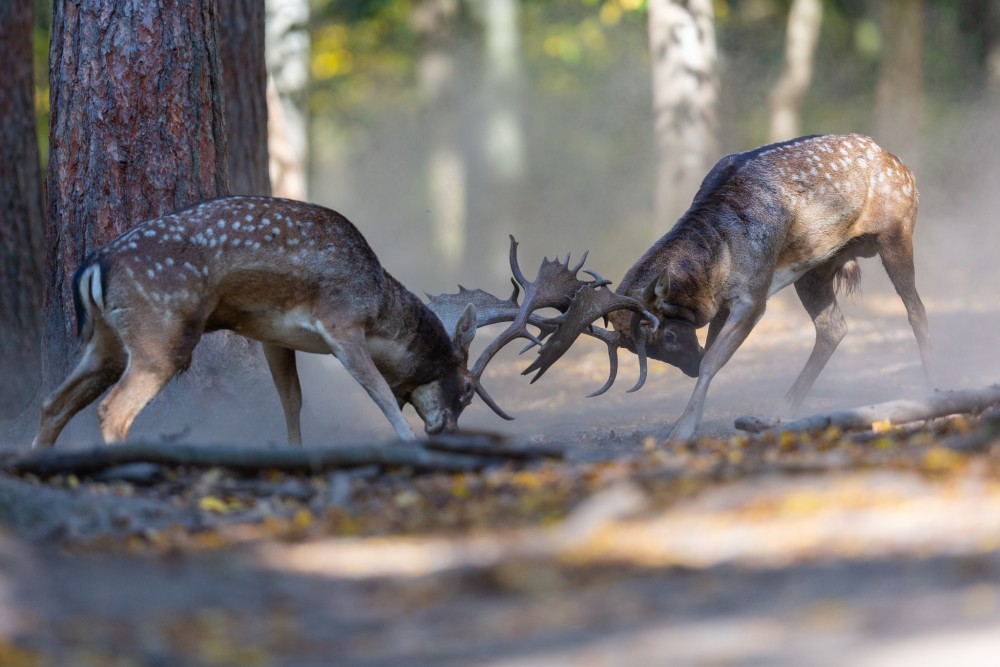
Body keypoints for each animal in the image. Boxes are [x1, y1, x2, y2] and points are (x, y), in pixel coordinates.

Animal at [37, 198, 490, 448]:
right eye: (468, 389)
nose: (447, 430)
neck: (378, 309)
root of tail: (94, 266)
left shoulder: (274, 336)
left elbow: (291, 399)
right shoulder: (340, 321)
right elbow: (379, 392)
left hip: (106, 341)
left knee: (53, 402)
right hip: (161, 332)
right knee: (112, 409)